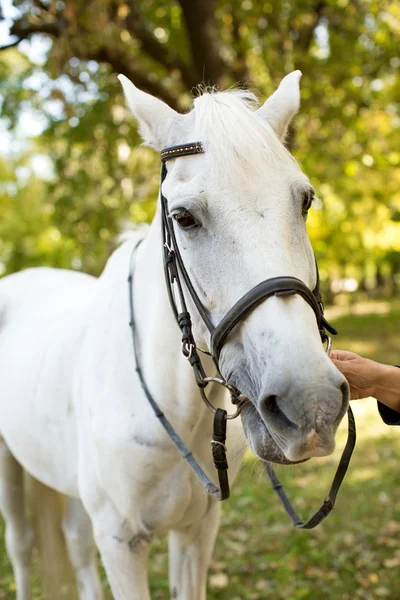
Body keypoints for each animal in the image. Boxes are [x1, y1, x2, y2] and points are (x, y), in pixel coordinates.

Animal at [0, 74, 348, 600]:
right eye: (183, 217)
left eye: (304, 201)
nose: (310, 404)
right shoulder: (121, 544)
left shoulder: (195, 533)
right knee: (22, 547)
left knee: (74, 542)